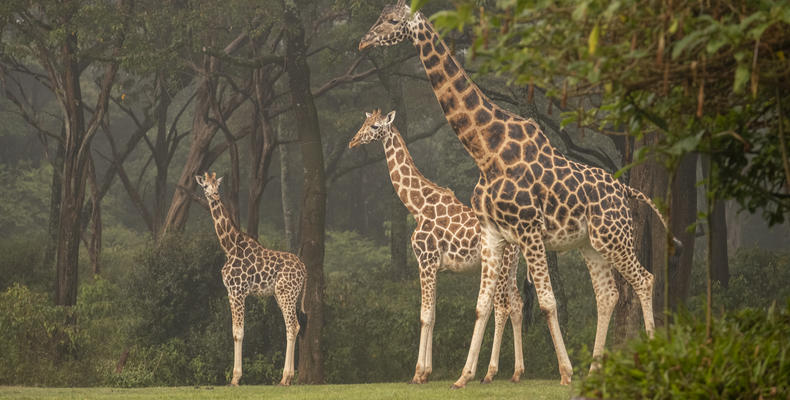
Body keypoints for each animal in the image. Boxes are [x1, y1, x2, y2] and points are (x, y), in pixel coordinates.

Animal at [195, 172, 306, 386]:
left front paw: (235, 378)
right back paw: (288, 377)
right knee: (293, 326)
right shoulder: (231, 293)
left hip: (286, 294)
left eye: (216, 186)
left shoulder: (238, 291)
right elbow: (235, 331)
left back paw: (284, 378)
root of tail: (305, 270)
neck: (229, 247)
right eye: (205, 186)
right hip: (282, 296)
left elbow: (238, 333)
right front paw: (235, 377)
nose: (214, 195)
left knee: (292, 326)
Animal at [349, 109, 525, 384]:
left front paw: (419, 373)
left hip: (500, 266)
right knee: (517, 305)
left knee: (502, 307)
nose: (353, 142)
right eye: (363, 123)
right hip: (512, 267)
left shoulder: (426, 261)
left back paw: (488, 373)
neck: (417, 206)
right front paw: (426, 372)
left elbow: (425, 316)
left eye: (375, 126)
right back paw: (517, 372)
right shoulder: (434, 267)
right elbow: (432, 315)